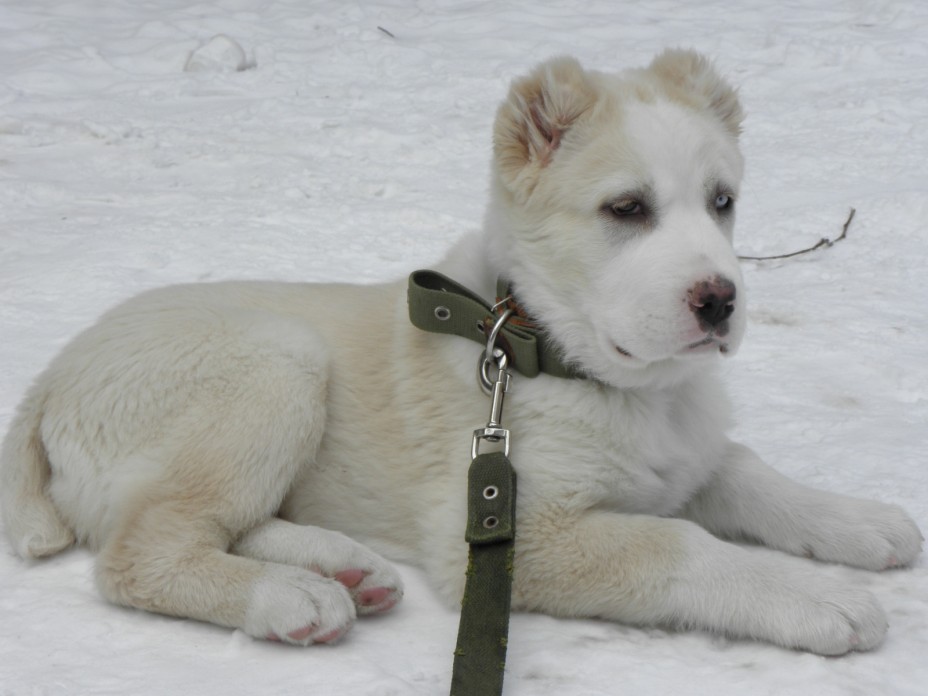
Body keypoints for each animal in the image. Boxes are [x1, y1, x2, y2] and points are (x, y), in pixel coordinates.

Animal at [1, 51, 920, 656]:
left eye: (722, 202)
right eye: (627, 209)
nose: (720, 300)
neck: (557, 355)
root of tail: (48, 381)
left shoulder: (681, 461)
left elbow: (746, 470)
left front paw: (857, 521)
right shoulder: (506, 534)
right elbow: (680, 546)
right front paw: (817, 598)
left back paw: (342, 566)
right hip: (277, 362)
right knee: (138, 552)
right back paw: (287, 596)